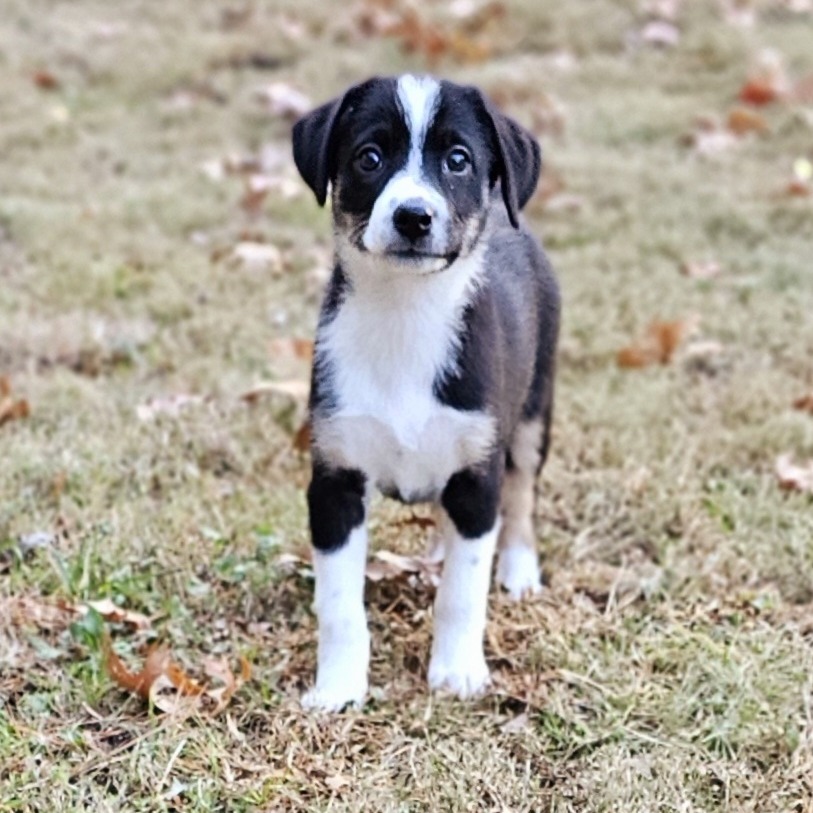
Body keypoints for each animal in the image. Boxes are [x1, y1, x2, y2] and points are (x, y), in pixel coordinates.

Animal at [290, 76, 560, 712]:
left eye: (458, 160)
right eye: (369, 157)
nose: (413, 216)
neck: (405, 315)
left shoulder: (478, 474)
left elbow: (462, 593)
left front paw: (457, 671)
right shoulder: (334, 481)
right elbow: (339, 606)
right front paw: (338, 687)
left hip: (534, 415)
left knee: (520, 498)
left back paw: (518, 569)